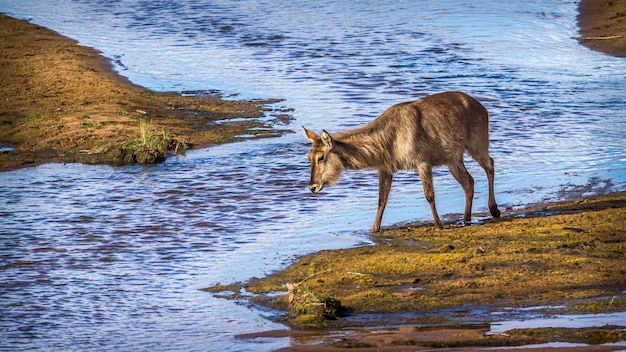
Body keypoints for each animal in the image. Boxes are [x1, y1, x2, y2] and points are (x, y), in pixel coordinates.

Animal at [300, 92, 500, 232]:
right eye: (309, 157)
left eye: (320, 157)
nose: (312, 187)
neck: (389, 139)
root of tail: (482, 107)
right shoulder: (385, 169)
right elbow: (381, 199)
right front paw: (374, 229)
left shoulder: (422, 162)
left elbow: (429, 195)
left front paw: (438, 225)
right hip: (453, 159)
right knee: (469, 182)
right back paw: (466, 218)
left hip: (476, 145)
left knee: (490, 165)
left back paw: (494, 210)